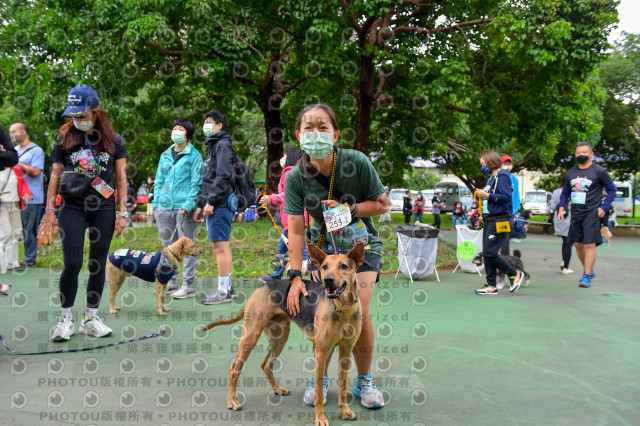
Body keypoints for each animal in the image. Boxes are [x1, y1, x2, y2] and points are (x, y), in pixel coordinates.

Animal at [205, 243, 364, 426]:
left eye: (344, 266)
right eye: (324, 267)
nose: (328, 280)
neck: (342, 308)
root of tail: (260, 288)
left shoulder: (346, 350)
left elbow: (342, 386)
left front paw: (345, 411)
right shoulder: (321, 351)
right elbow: (318, 390)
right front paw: (320, 417)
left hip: (279, 338)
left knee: (266, 364)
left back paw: (277, 389)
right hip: (251, 336)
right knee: (234, 368)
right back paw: (232, 401)